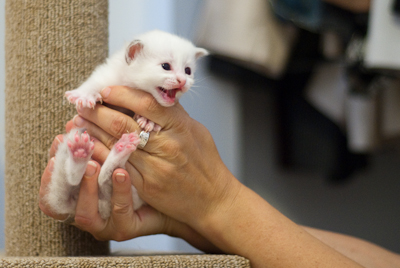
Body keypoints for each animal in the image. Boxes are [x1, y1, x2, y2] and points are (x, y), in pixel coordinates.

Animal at [46, 30, 209, 219]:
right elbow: (94, 83)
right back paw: (81, 154)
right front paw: (84, 95)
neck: (131, 83)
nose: (182, 81)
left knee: (102, 178)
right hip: (76, 135)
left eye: (188, 70)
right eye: (165, 66)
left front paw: (148, 120)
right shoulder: (107, 76)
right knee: (78, 178)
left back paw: (111, 151)